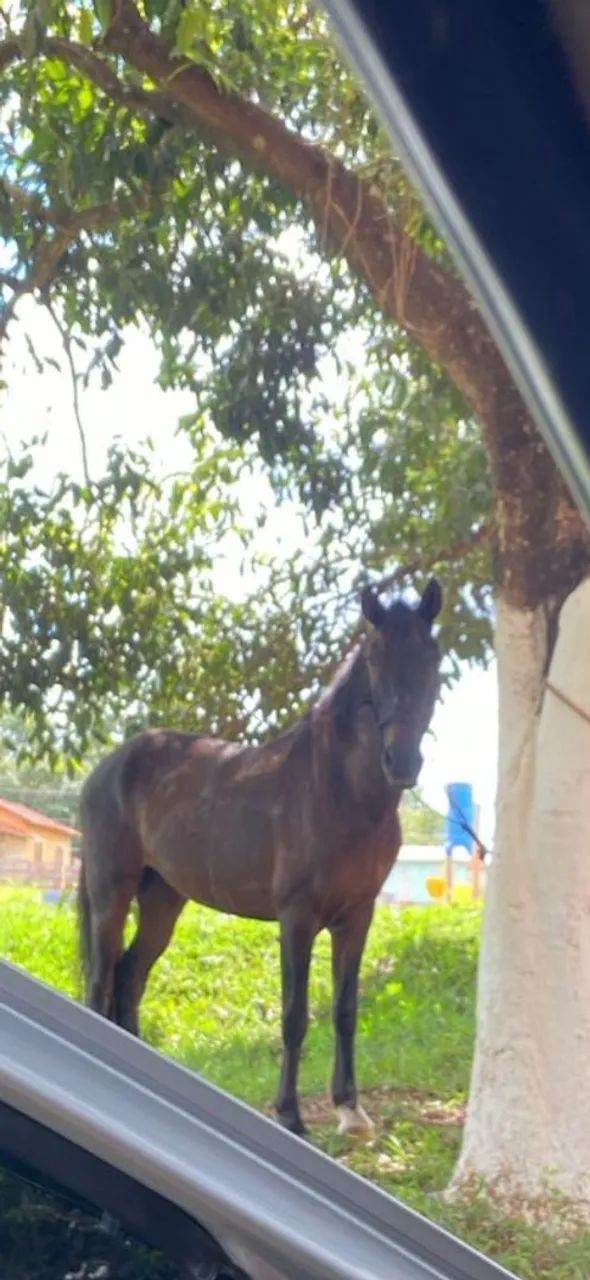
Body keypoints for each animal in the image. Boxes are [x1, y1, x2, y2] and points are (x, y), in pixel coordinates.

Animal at [78, 577, 443, 1137]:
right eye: (375, 658)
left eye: (432, 655)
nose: (401, 762)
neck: (339, 793)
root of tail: (107, 766)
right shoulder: (297, 917)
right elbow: (294, 1013)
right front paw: (290, 1114)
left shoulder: (358, 916)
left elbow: (345, 1008)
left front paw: (350, 1108)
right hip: (110, 895)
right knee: (101, 982)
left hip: (162, 902)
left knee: (130, 976)